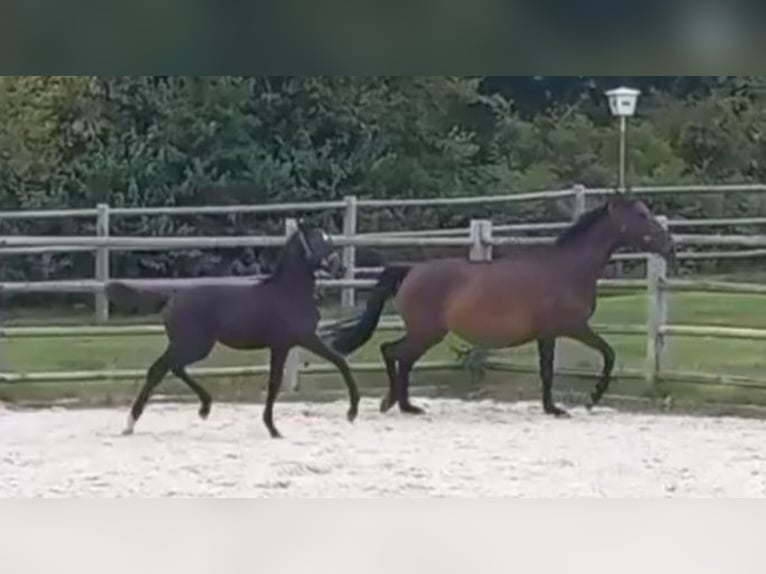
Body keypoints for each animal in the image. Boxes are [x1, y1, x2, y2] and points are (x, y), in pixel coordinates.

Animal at [105, 223, 364, 438]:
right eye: (320, 241)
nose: (341, 268)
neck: (289, 293)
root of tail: (171, 297)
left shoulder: (295, 342)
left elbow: (338, 361)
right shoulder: (292, 342)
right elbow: (278, 381)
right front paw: (274, 428)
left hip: (187, 345)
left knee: (171, 368)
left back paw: (202, 407)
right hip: (195, 345)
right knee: (161, 369)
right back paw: (132, 423)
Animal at [330, 197, 680, 418]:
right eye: (640, 215)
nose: (670, 245)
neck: (568, 269)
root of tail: (411, 271)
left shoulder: (553, 333)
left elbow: (566, 365)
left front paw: (558, 406)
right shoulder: (566, 329)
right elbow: (599, 357)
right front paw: (579, 403)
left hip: (424, 332)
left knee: (398, 356)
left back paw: (401, 404)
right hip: (426, 332)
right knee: (395, 353)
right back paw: (400, 404)